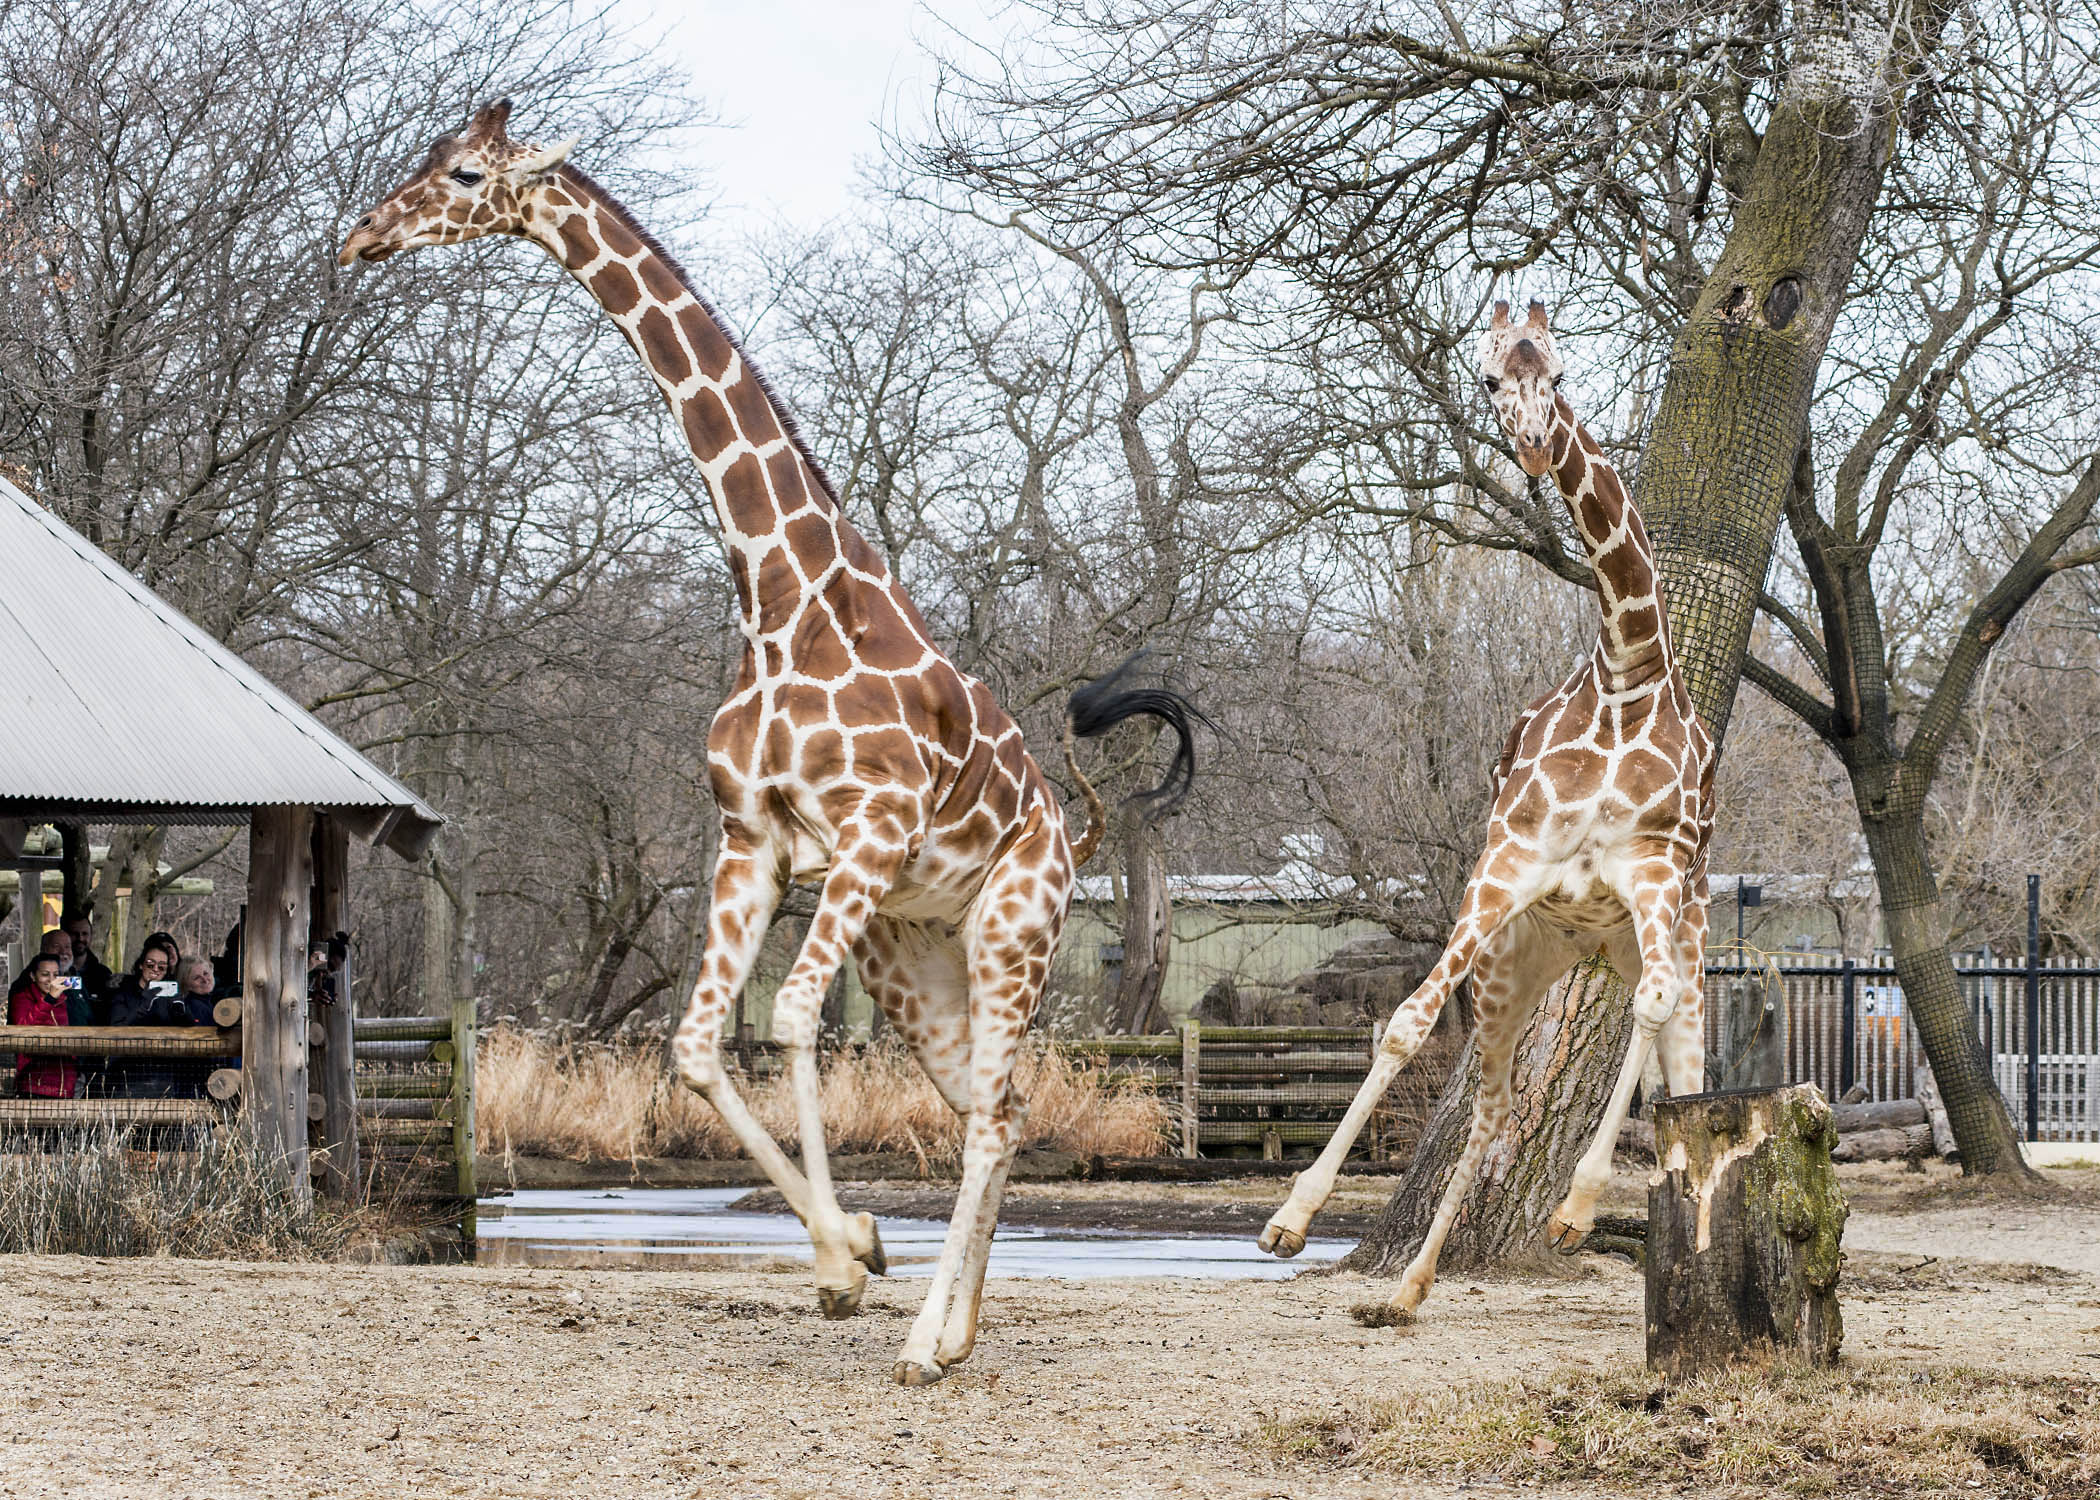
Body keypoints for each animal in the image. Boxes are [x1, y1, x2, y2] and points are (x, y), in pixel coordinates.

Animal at [338, 99, 1209, 1386]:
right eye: (433, 157)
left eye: (462, 174)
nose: (360, 237)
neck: (782, 596)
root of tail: (1072, 832)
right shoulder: (748, 842)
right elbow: (698, 1048)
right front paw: (853, 1249)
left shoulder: (866, 830)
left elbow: (789, 1021)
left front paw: (850, 1259)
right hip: (912, 954)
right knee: (988, 1108)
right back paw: (954, 1332)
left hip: (1012, 930)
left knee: (994, 1109)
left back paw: (922, 1344)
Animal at [1251, 300, 1713, 1319]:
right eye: (1491, 377)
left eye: (1563, 371)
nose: (1537, 446)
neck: (1627, 679)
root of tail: (1580, 949)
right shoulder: (1504, 865)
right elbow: (1404, 1022)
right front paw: (1292, 1217)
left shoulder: (1654, 873)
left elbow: (1651, 1014)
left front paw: (1578, 1209)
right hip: (1512, 968)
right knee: (1497, 1109)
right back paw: (1407, 1290)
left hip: (1674, 935)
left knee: (1681, 1063)